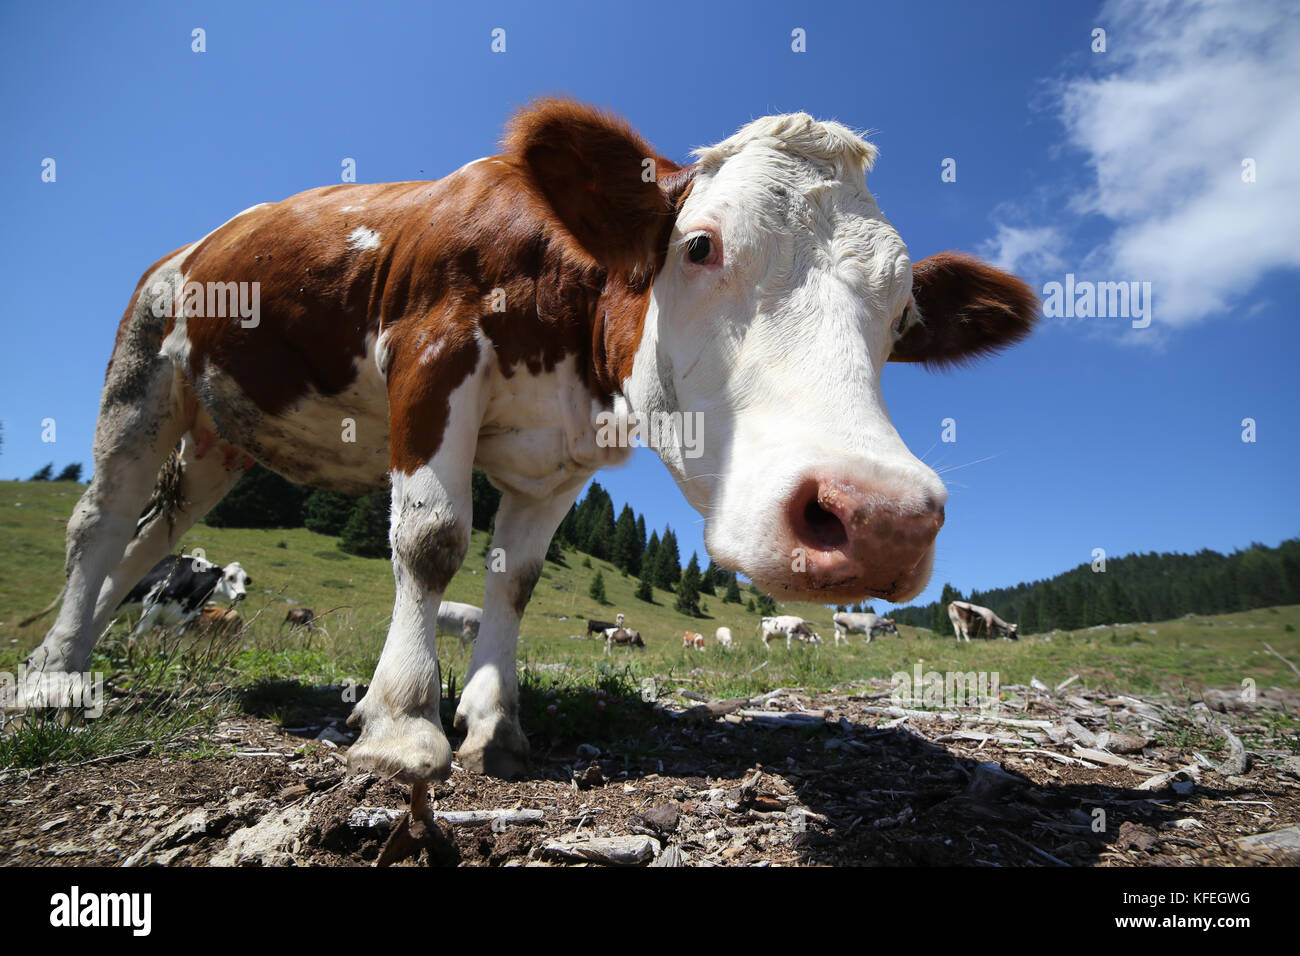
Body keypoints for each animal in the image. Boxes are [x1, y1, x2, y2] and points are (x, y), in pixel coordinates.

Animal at [115, 555, 250, 635]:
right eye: (231, 577)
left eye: (245, 580)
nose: (242, 594)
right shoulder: (152, 603)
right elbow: (137, 635)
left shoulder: (181, 619)